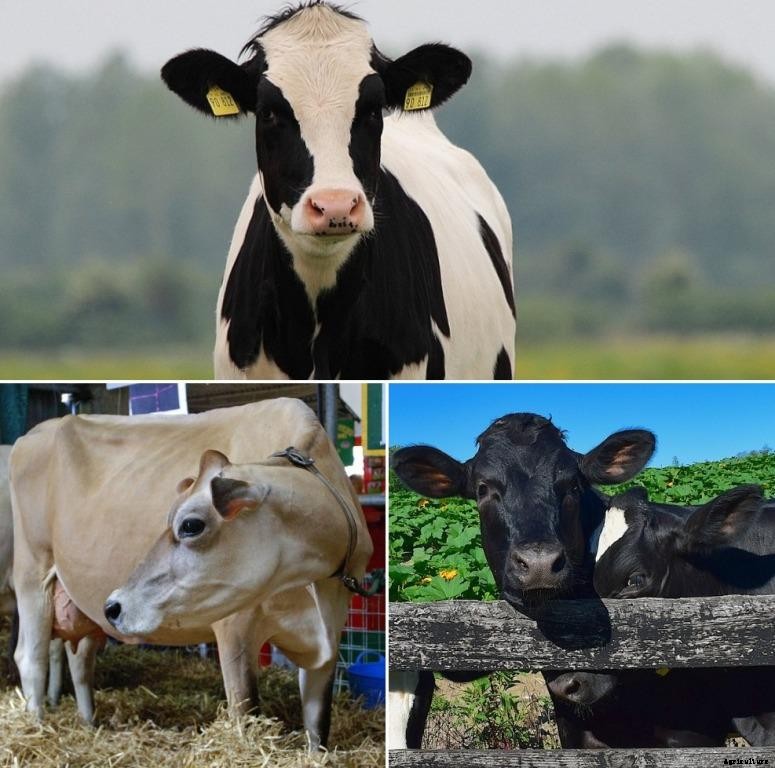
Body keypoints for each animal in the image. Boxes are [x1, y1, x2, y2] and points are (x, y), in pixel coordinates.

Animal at [11, 399, 372, 750]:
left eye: (191, 525)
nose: (113, 605)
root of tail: (33, 434)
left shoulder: (330, 636)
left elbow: (318, 727)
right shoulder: (234, 627)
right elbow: (245, 710)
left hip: (80, 604)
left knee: (80, 659)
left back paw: (88, 723)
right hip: (31, 572)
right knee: (31, 658)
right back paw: (37, 728)